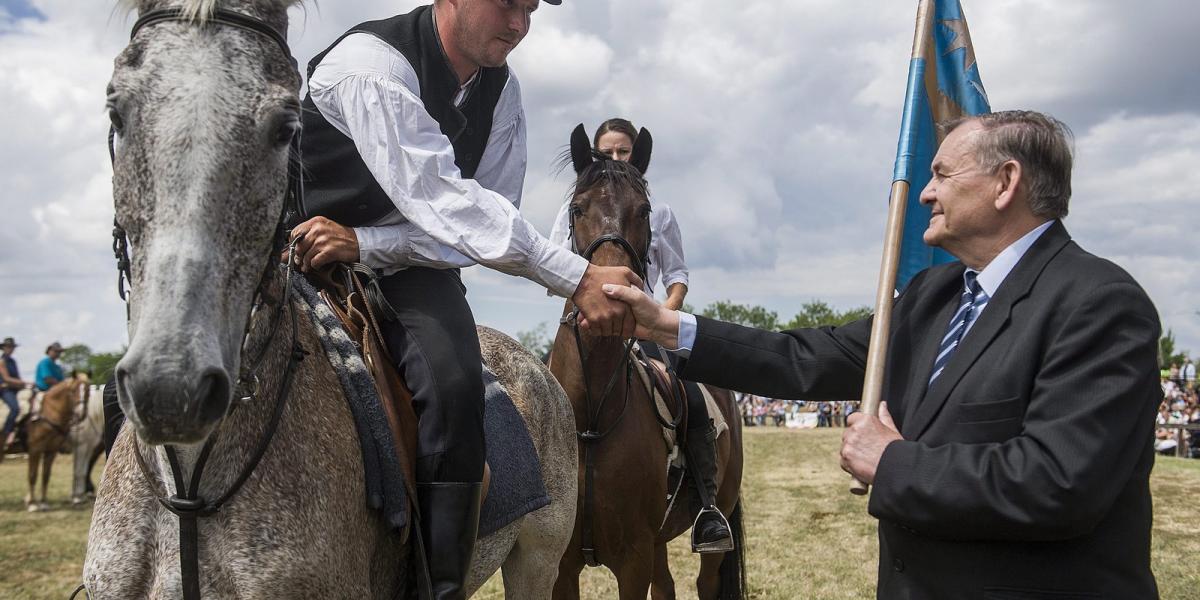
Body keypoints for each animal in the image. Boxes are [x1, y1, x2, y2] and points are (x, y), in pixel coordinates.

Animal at [22, 374, 89, 511]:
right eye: (73, 391)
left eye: (88, 390)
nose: (81, 413)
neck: (47, 414)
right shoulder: (34, 449)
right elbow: (32, 475)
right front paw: (32, 504)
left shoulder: (51, 451)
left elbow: (45, 476)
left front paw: (43, 503)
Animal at [552, 125, 748, 600]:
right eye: (578, 208)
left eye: (643, 212)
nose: (610, 303)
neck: (591, 420)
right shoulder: (561, 566)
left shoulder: (632, 560)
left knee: (706, 580)